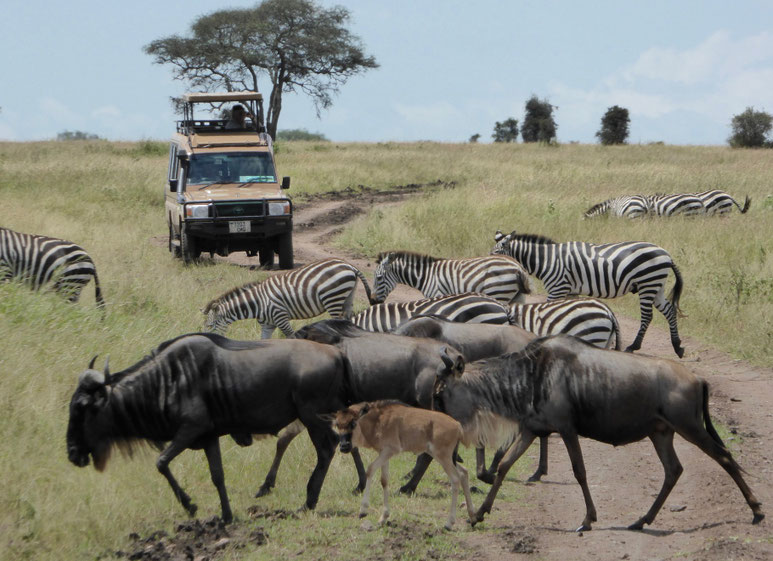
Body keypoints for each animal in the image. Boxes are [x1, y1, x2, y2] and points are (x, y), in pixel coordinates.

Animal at [202, 258, 374, 338]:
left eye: (210, 326)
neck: (258, 303)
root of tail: (349, 265)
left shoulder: (281, 317)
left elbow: (292, 336)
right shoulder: (267, 325)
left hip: (333, 297)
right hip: (348, 297)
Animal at [372, 251, 531, 305]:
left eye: (379, 278)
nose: (372, 301)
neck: (425, 275)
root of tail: (518, 266)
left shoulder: (436, 294)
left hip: (498, 293)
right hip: (517, 297)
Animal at [492, 230, 685, 357]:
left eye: (497, 253)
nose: (492, 265)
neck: (548, 261)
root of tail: (666, 254)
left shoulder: (557, 287)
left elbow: (547, 311)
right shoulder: (571, 291)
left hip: (648, 282)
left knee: (647, 316)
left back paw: (634, 346)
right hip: (656, 285)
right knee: (669, 311)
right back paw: (677, 347)